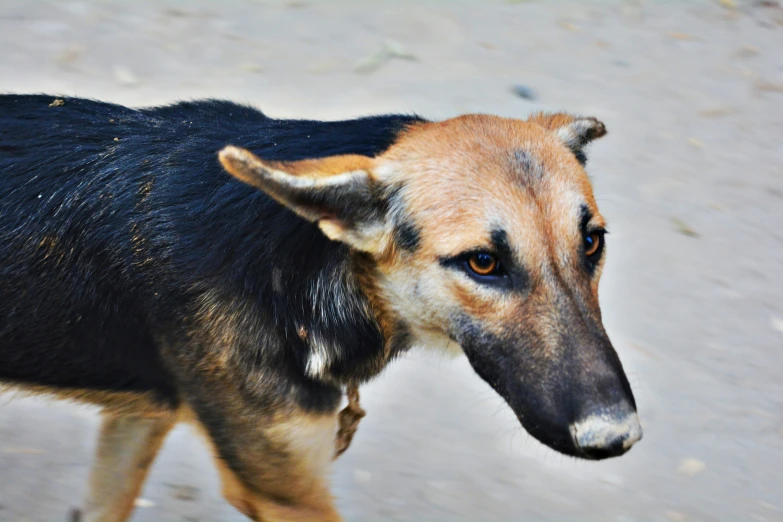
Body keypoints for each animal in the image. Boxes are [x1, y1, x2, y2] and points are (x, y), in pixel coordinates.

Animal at [0, 94, 644, 520]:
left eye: (592, 242)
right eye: (483, 263)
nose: (616, 436)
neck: (300, 271)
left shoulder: (141, 418)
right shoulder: (283, 492)